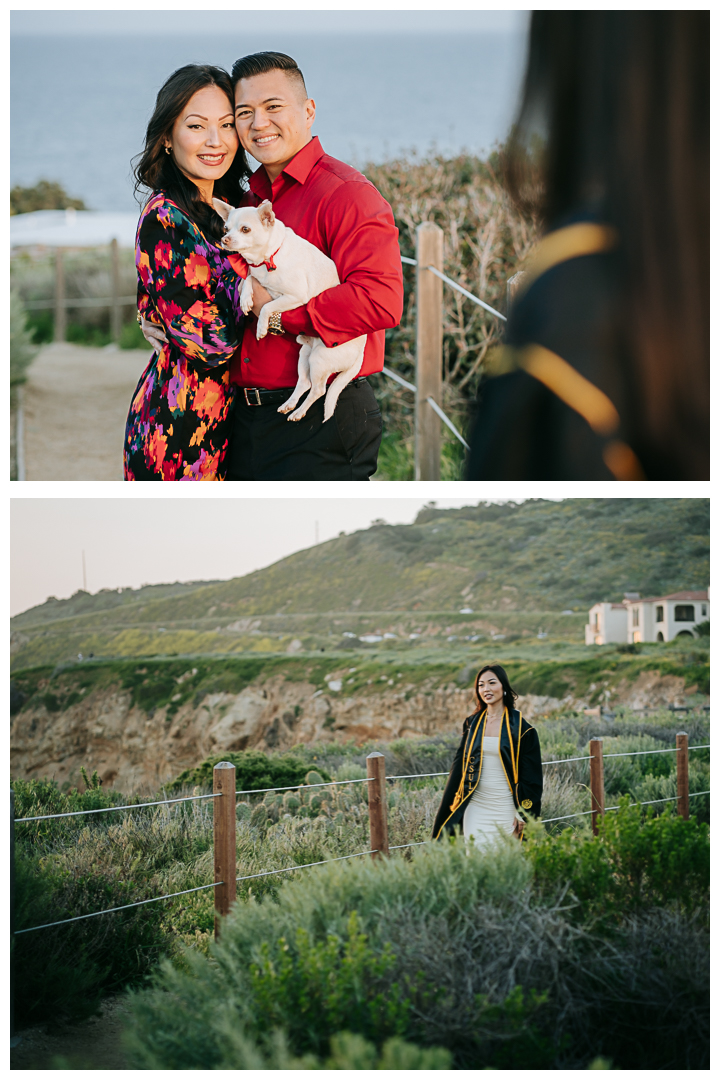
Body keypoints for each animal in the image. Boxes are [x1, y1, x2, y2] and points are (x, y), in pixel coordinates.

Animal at [211, 198, 362, 421]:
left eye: (245, 229)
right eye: (226, 228)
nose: (225, 239)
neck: (267, 258)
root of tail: (361, 353)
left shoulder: (295, 297)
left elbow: (266, 306)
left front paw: (261, 328)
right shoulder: (257, 276)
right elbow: (248, 278)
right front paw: (246, 299)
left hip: (319, 359)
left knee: (318, 390)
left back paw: (299, 412)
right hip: (305, 355)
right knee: (304, 383)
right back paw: (289, 405)